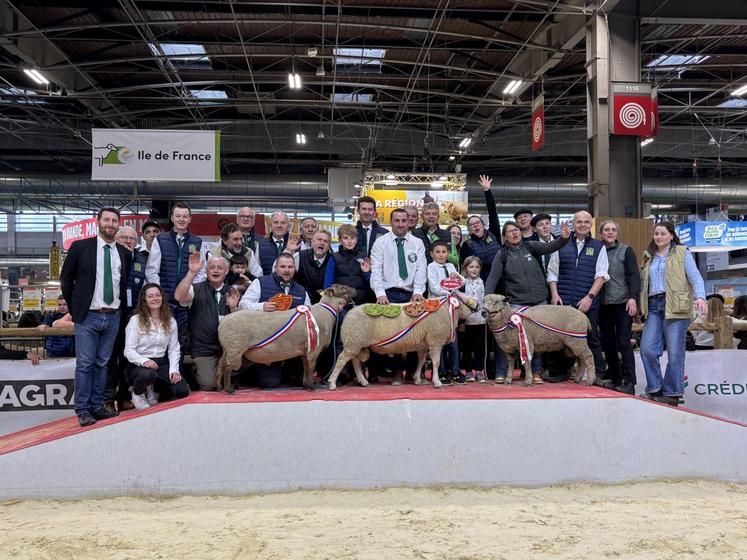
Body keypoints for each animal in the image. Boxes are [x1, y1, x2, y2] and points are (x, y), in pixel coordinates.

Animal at [216, 284, 356, 390]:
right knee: (228, 366)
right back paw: (228, 389)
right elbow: (311, 367)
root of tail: (222, 323)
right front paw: (312, 387)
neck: (326, 311)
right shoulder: (313, 349)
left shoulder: (305, 351)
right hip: (235, 346)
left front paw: (306, 384)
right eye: (343, 288)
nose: (356, 290)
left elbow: (306, 366)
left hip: (227, 348)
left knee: (220, 365)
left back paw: (218, 387)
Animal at [328, 290, 480, 392]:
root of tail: (350, 311)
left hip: (356, 343)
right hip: (353, 340)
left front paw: (417, 379)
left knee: (354, 361)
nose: (479, 306)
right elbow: (436, 362)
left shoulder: (423, 343)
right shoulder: (435, 340)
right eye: (467, 299)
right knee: (341, 360)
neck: (447, 310)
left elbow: (421, 361)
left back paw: (363, 381)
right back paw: (332, 383)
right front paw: (437, 382)